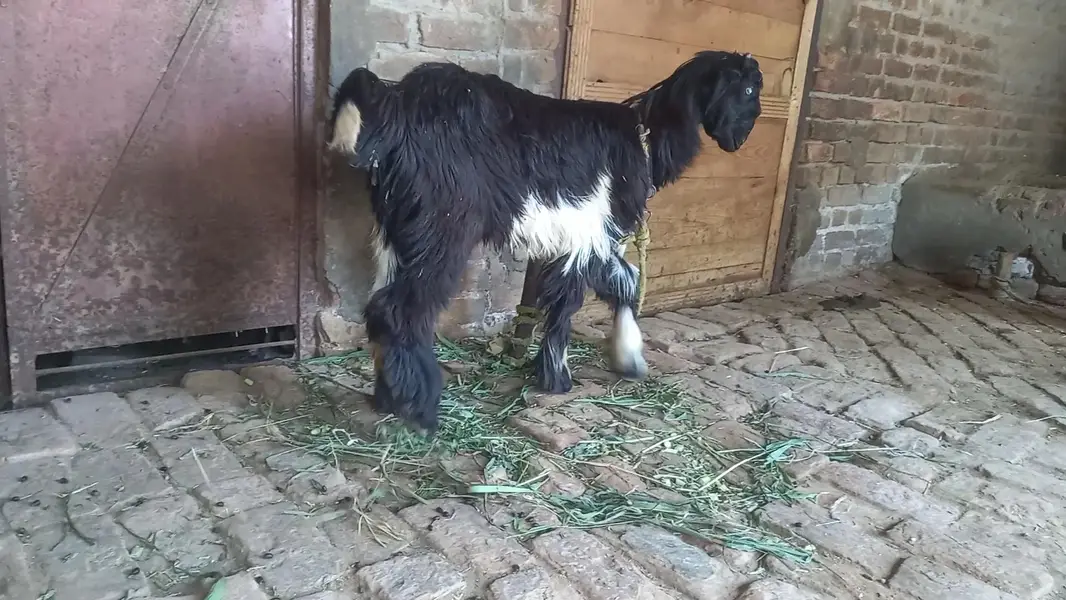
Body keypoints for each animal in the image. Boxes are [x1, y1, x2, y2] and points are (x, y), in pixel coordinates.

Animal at [327, 51, 763, 433]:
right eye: (746, 89)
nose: (742, 136)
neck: (644, 137)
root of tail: (395, 104)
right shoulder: (593, 233)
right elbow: (576, 298)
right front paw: (561, 375)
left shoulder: (587, 238)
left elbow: (619, 283)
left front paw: (625, 359)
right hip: (443, 224)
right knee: (402, 308)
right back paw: (422, 406)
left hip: (398, 228)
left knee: (380, 305)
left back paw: (389, 396)